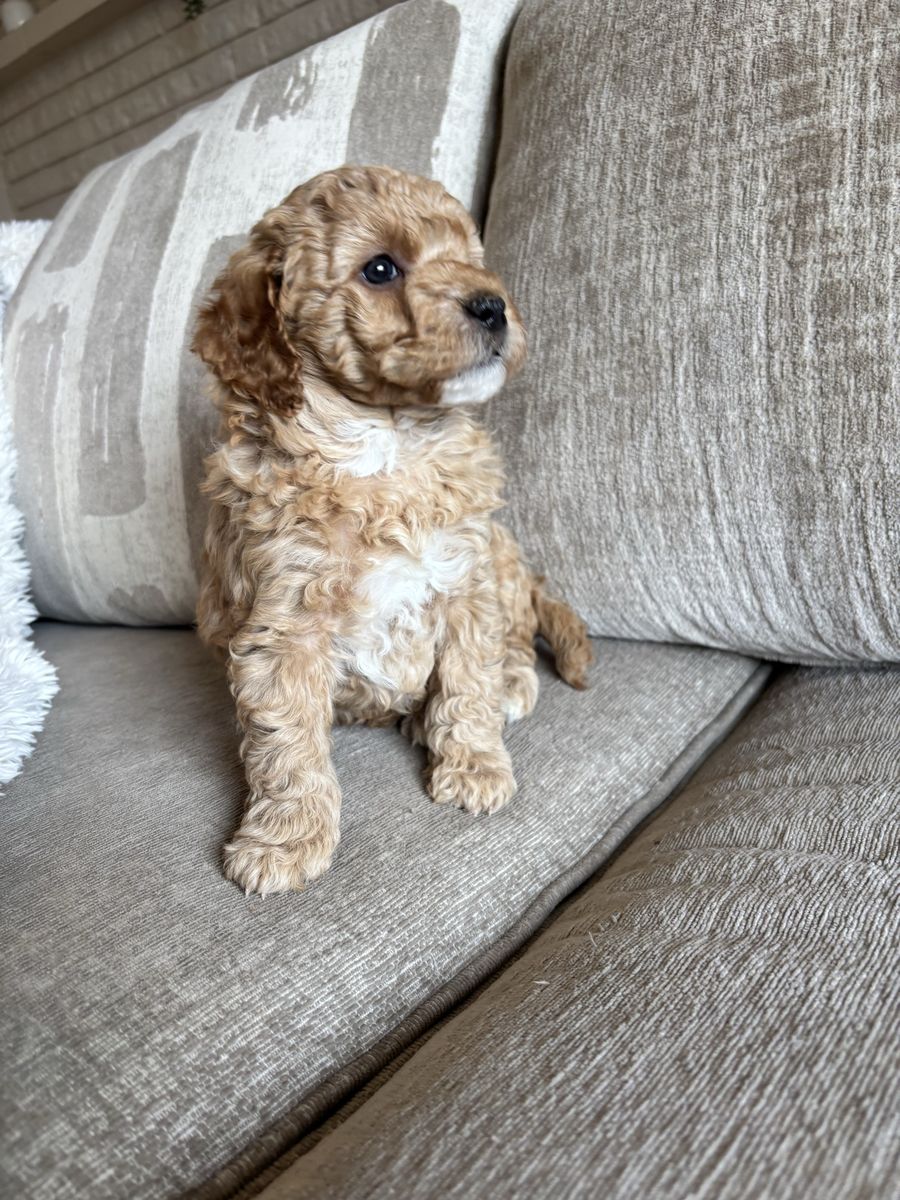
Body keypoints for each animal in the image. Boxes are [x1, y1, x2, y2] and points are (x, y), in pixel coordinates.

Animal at [192, 165, 592, 896]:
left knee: (519, 636)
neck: (387, 450)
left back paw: (499, 689)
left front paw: (474, 766)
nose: (494, 305)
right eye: (380, 269)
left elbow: (467, 681)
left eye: (471, 257)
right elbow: (286, 740)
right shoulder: (282, 624)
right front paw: (284, 839)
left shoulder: (467, 582)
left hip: (504, 556)